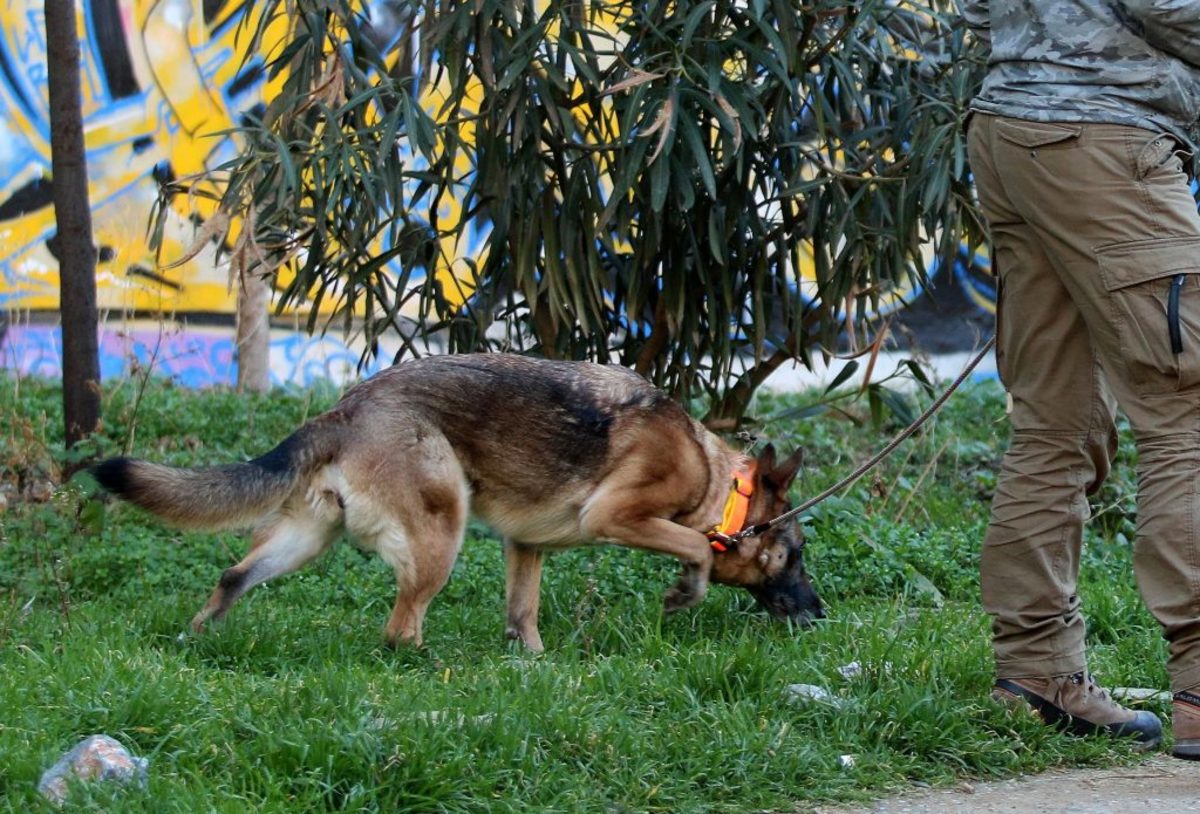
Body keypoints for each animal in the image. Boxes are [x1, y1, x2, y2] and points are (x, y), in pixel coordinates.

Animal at [93, 355, 825, 648]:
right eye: (794, 555)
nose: (821, 615)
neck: (713, 481)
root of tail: (346, 408)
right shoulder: (614, 517)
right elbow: (694, 543)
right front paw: (685, 590)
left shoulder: (526, 546)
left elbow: (523, 614)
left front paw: (533, 664)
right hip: (440, 534)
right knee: (399, 629)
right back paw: (425, 664)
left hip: (304, 539)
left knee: (231, 575)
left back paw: (197, 639)